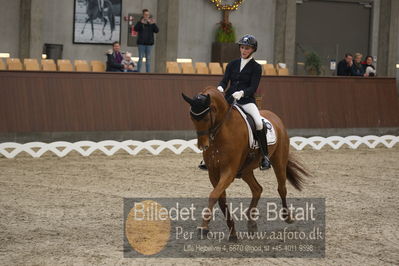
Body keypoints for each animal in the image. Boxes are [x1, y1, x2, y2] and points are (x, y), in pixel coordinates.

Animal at [183, 86, 310, 240]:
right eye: (192, 118)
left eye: (206, 118)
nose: (203, 146)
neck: (222, 132)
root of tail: (274, 117)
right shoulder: (213, 172)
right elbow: (221, 199)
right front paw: (232, 232)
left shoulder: (229, 171)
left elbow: (213, 195)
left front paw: (203, 227)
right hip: (245, 170)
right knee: (257, 189)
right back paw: (251, 223)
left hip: (279, 161)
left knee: (281, 188)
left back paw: (288, 217)